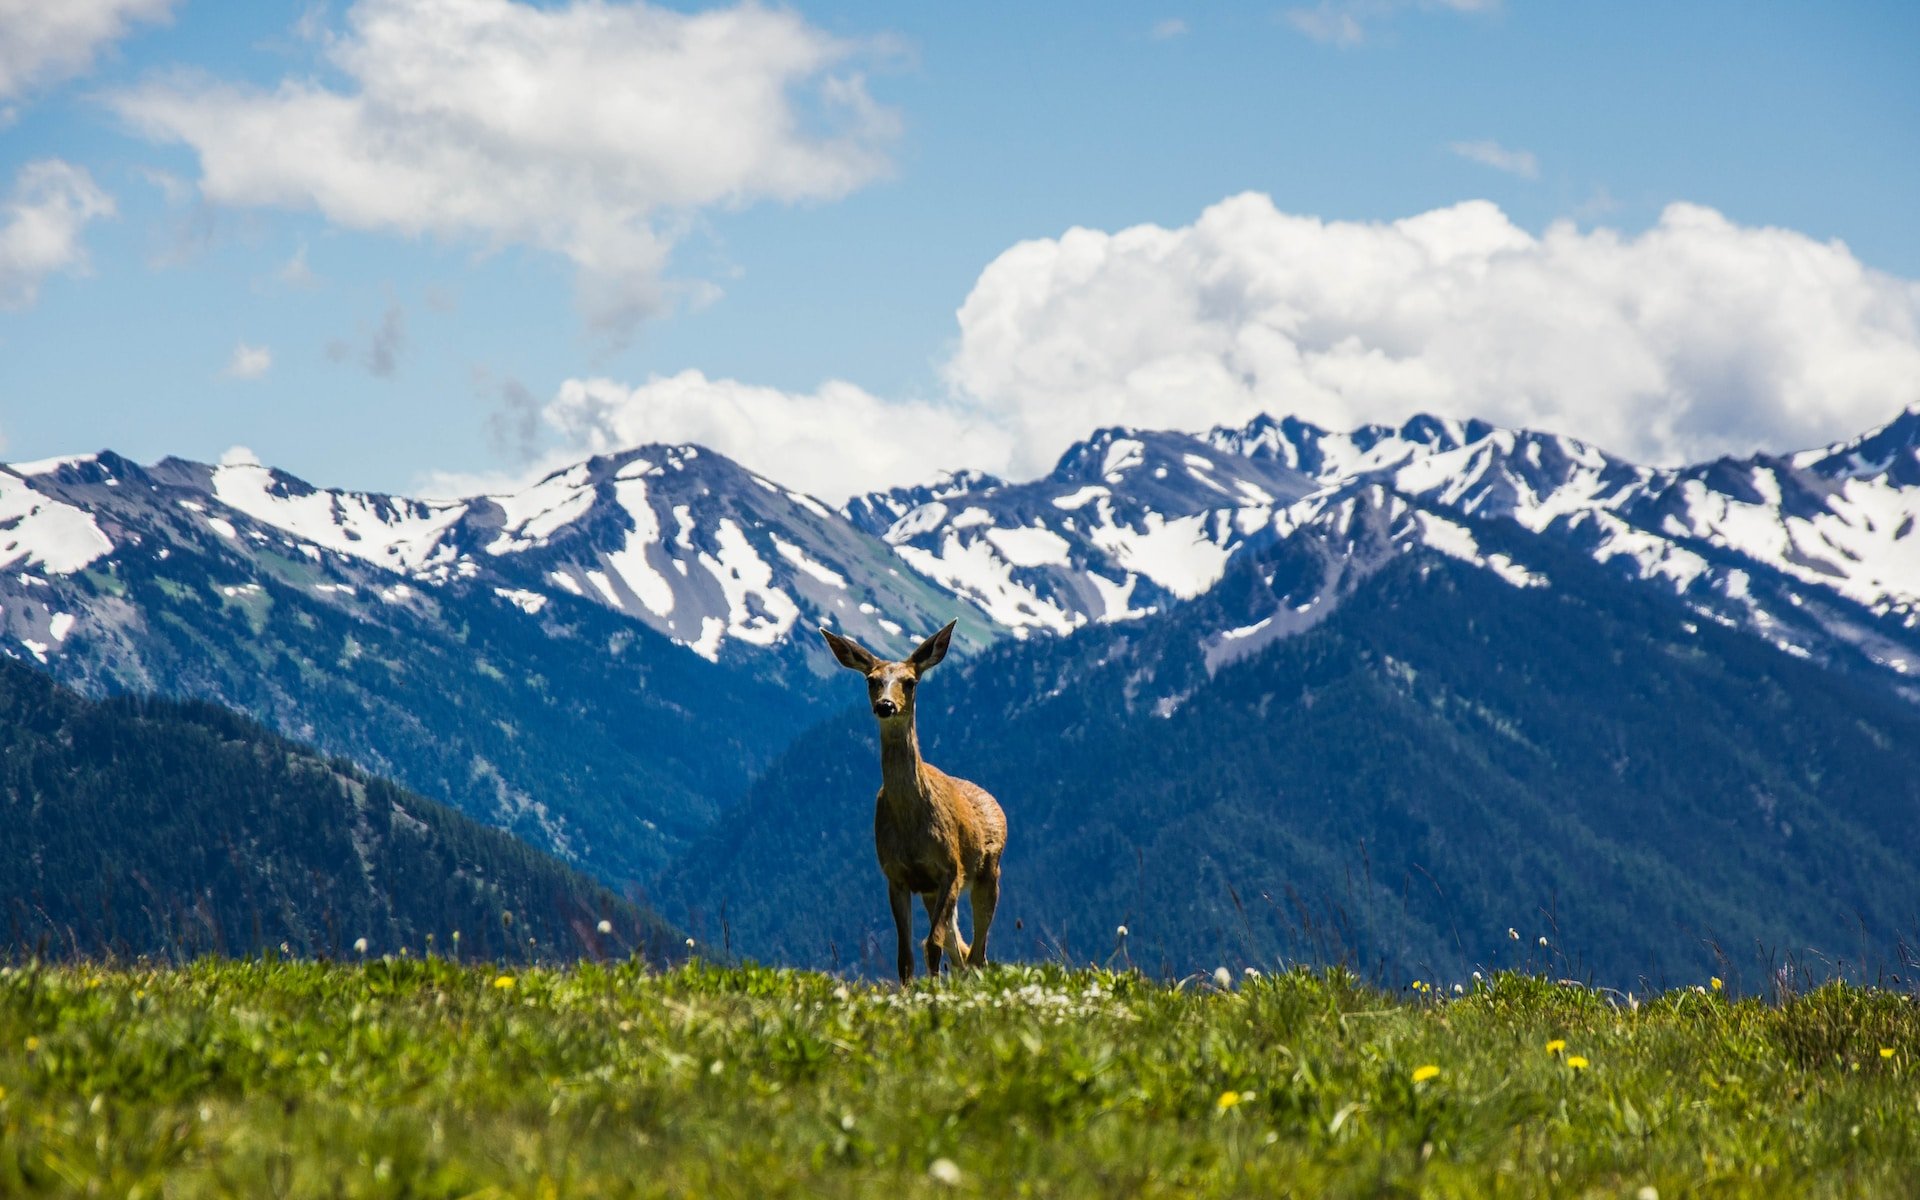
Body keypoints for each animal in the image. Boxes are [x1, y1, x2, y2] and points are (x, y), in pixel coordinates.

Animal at [821, 618, 1013, 983]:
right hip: (933, 892)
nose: (885, 705)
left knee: (977, 952)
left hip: (987, 872)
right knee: (962, 950)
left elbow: (931, 944)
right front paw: (912, 989)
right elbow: (905, 954)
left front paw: (933, 989)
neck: (912, 825)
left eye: (910, 682)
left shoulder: (950, 869)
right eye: (871, 680)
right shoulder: (897, 876)